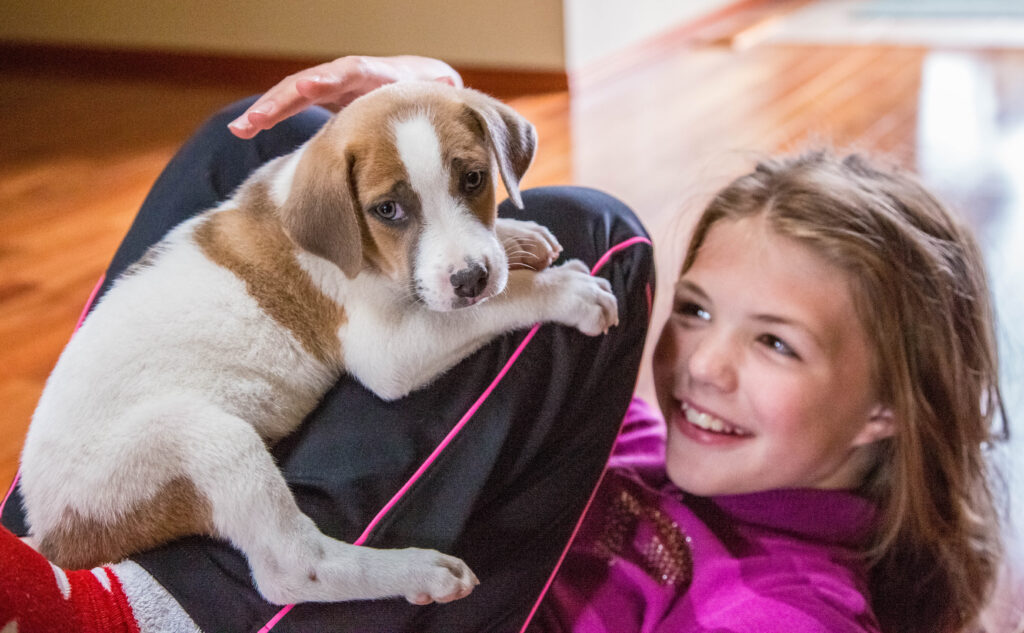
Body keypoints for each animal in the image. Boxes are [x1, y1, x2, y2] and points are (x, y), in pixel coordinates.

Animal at [19, 81, 618, 602]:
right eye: (388, 210)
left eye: (474, 179)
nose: (470, 278)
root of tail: (51, 530)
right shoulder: (388, 352)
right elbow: (500, 303)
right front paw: (563, 290)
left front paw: (519, 238)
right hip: (200, 440)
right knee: (295, 571)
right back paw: (415, 570)